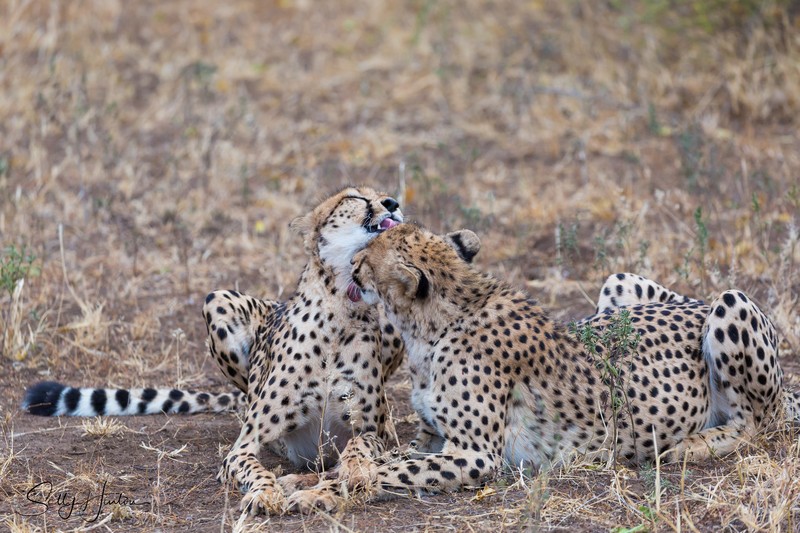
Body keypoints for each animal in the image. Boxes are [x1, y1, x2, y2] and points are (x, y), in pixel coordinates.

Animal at [283, 223, 800, 511]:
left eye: (368, 256)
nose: (352, 262)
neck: (436, 322)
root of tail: (699, 303)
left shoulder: (476, 456)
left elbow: (385, 472)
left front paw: (314, 494)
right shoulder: (431, 439)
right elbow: (383, 460)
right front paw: (304, 480)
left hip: (731, 303)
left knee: (759, 420)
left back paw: (693, 445)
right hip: (618, 282)